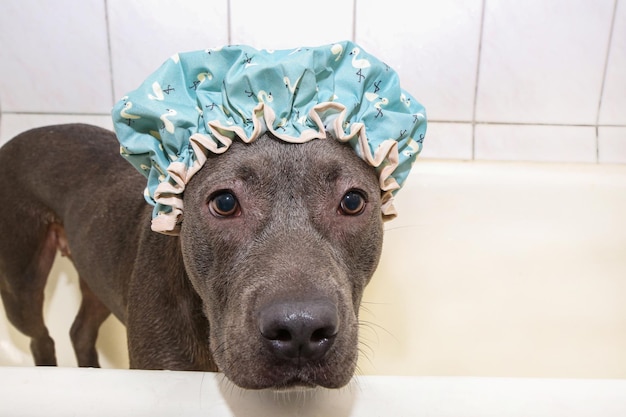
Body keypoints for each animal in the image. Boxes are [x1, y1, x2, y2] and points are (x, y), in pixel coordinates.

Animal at [0, 122, 382, 388]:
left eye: (352, 201)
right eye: (225, 202)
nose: (300, 329)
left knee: (80, 329)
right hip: (22, 288)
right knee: (38, 336)